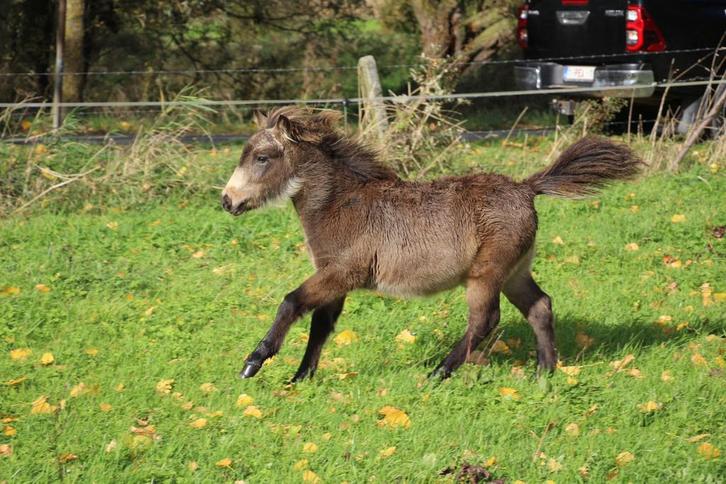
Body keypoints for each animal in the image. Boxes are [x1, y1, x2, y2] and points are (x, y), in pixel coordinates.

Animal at [221, 106, 641, 381]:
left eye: (262, 157)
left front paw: (253, 361)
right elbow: (320, 324)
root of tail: (526, 188)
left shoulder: (342, 272)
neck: (342, 204)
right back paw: (545, 372)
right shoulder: (332, 277)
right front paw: (300, 378)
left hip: (486, 274)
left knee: (485, 320)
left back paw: (440, 372)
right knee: (540, 307)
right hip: (514, 272)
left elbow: (292, 302)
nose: (227, 201)